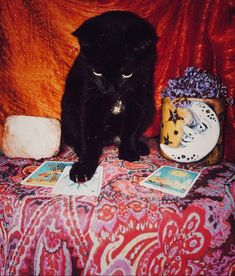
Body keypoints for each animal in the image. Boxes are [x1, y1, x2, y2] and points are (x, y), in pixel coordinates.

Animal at [62, 10, 158, 182]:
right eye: (97, 72)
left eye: (127, 74)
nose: (111, 89)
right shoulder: (91, 99)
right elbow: (90, 136)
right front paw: (84, 167)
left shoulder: (139, 98)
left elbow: (131, 130)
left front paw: (128, 153)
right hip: (69, 109)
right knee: (75, 135)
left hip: (151, 108)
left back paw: (140, 146)